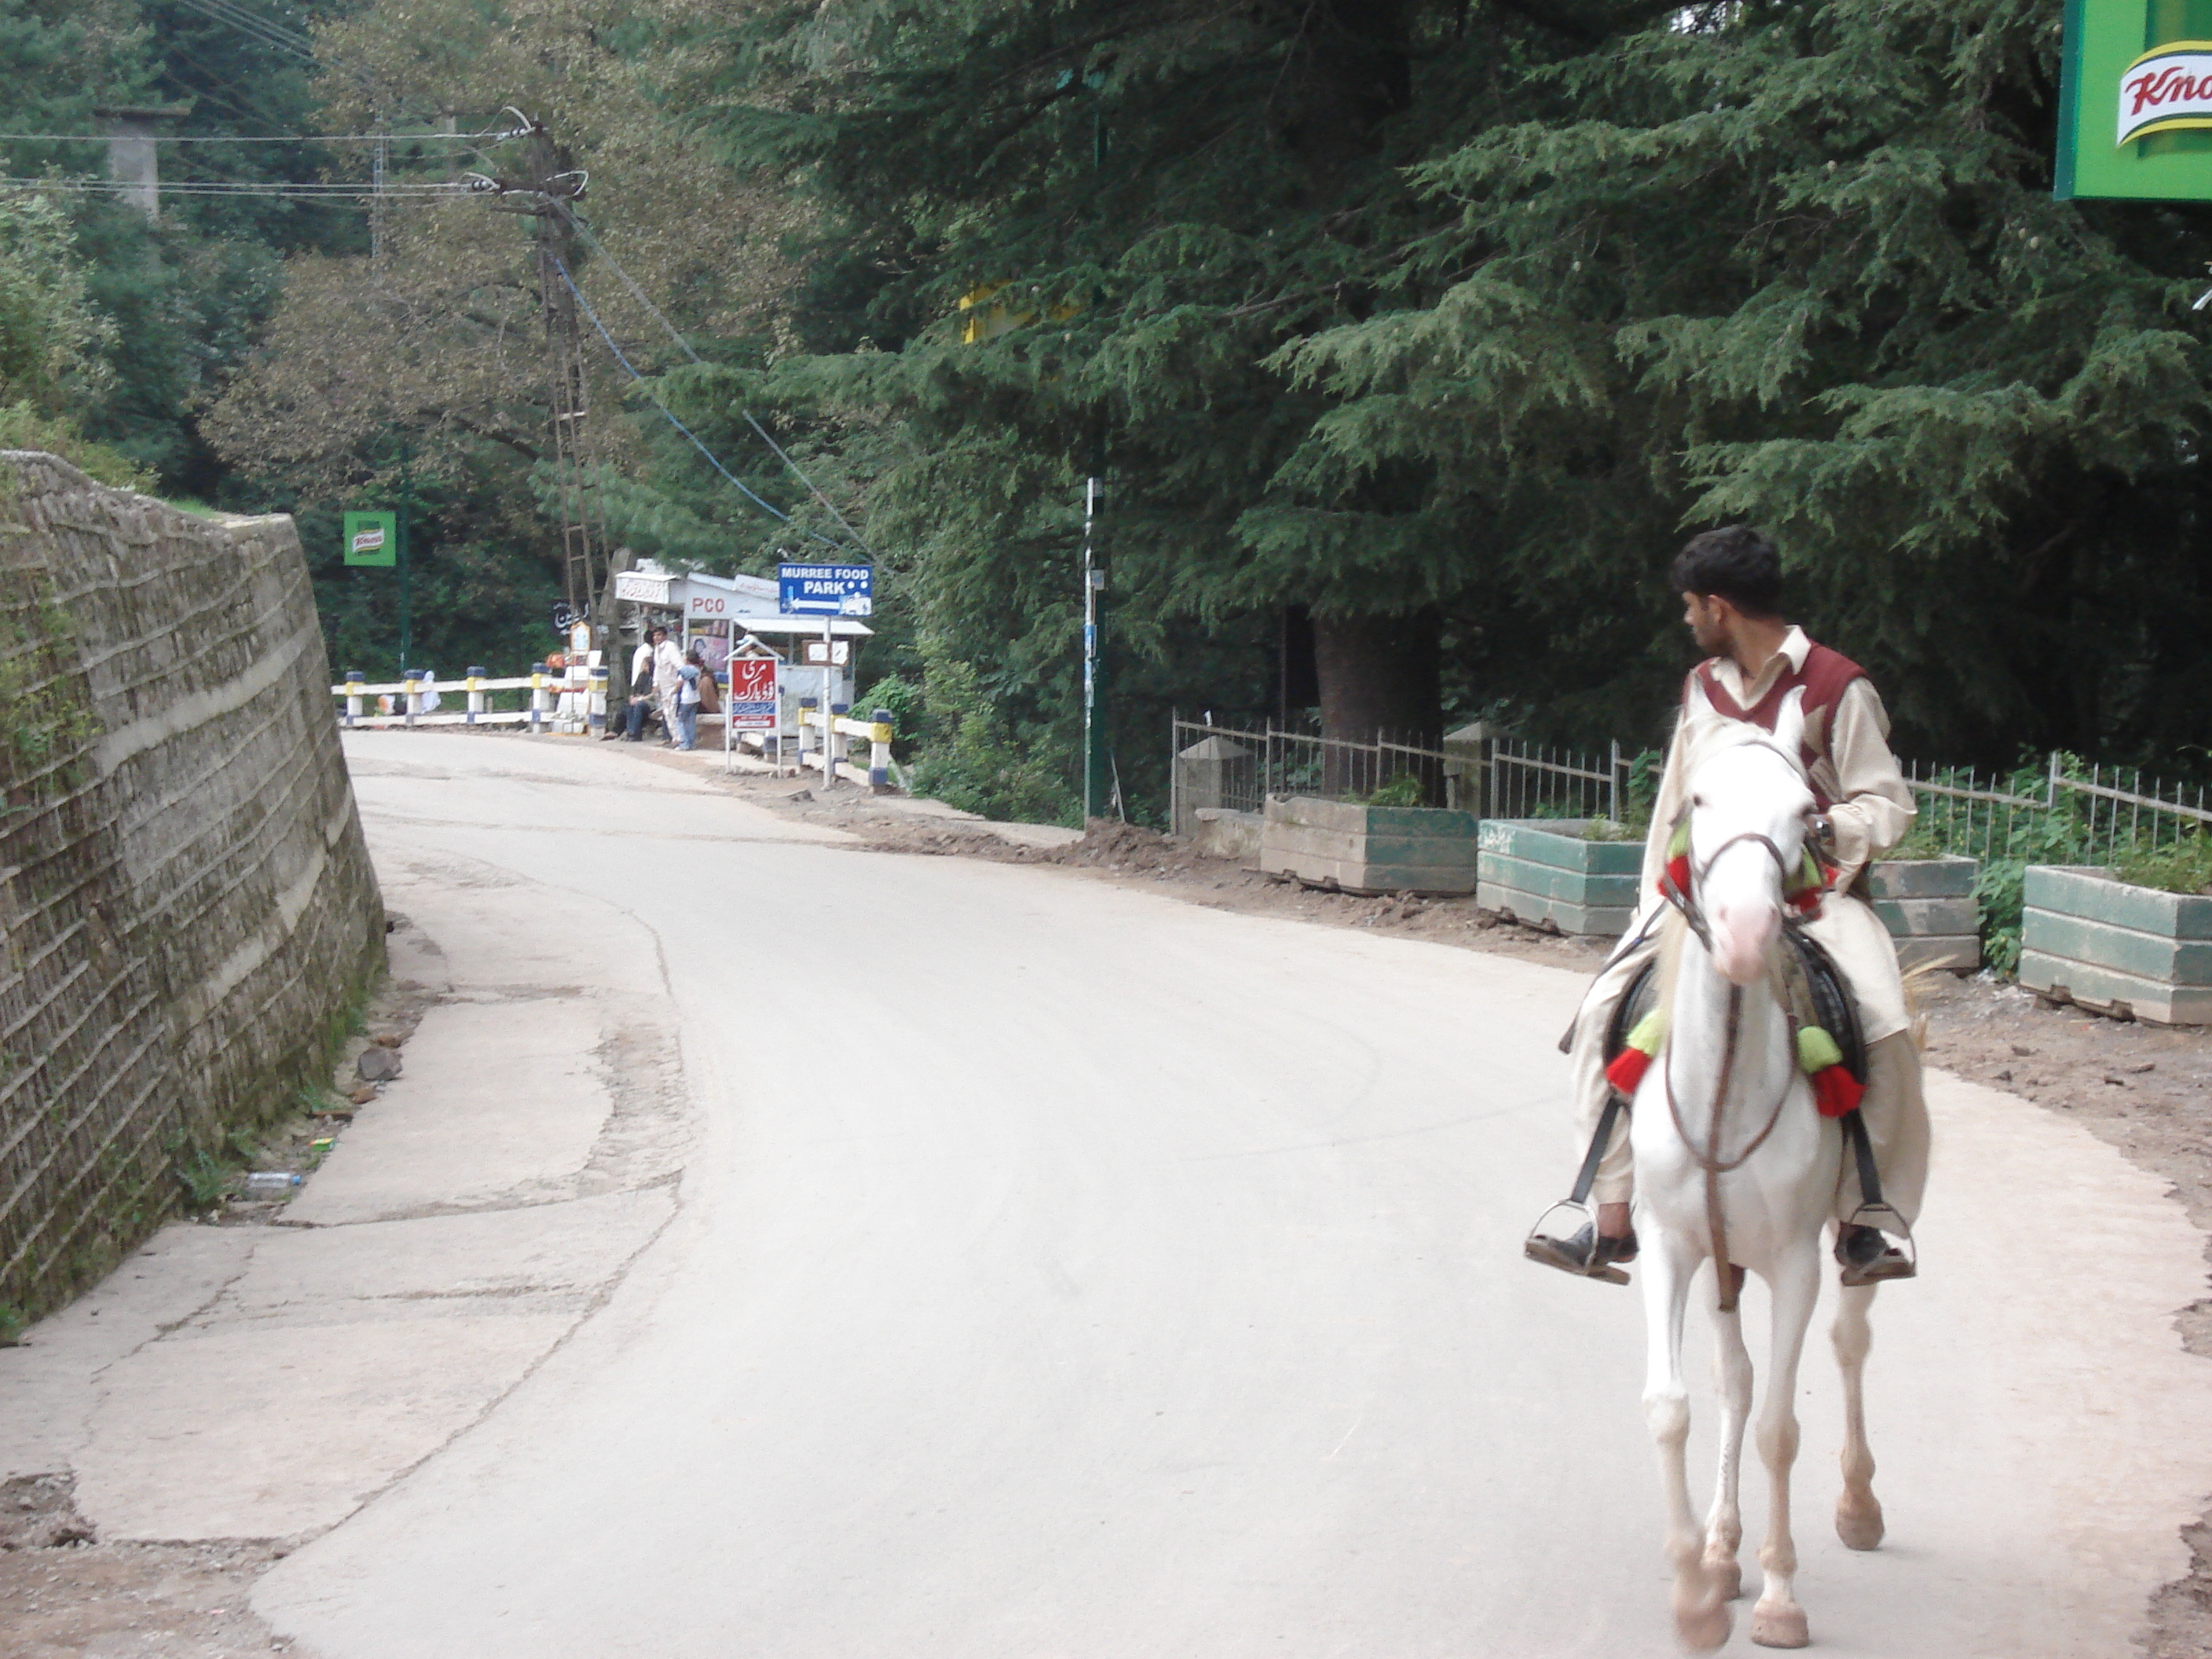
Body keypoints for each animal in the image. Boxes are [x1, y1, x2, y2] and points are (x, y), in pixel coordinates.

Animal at [1636, 703, 1893, 1654]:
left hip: (1855, 1236)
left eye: (1805, 813)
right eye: (1698, 799)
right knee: (1734, 1383)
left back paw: (1858, 1505)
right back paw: (1719, 1548)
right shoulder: (1670, 1247)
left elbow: (1782, 1428)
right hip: (1722, 1260)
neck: (1724, 1092)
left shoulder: (1793, 1263)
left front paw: (1782, 1598)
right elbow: (1674, 1405)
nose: (1746, 933)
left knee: (1849, 1343)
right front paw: (1691, 1594)